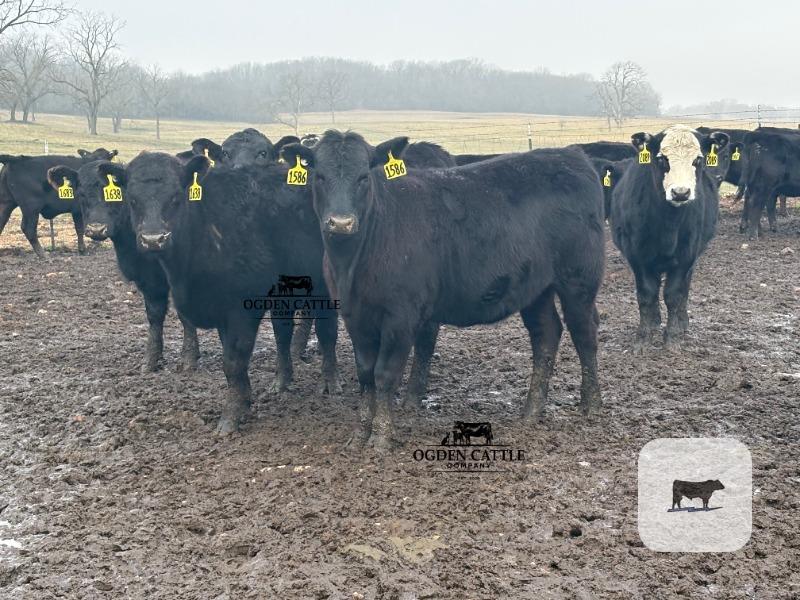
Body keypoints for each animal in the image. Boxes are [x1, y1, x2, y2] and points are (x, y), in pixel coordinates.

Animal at [46, 160, 200, 372]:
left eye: (114, 194)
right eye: (81, 194)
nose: (96, 229)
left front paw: (189, 359)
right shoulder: (147, 279)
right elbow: (154, 315)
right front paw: (151, 360)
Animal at [97, 152, 339, 433]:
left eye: (176, 197)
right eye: (133, 199)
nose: (153, 239)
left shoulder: (240, 308)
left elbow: (233, 361)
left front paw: (230, 418)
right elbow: (232, 363)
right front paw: (244, 401)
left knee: (326, 333)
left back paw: (330, 382)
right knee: (283, 334)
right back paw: (282, 381)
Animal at [283, 130, 605, 449]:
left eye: (364, 176)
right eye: (319, 176)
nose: (341, 223)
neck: (352, 263)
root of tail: (572, 155)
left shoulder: (401, 316)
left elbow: (384, 374)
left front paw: (382, 436)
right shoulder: (354, 315)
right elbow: (365, 375)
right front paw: (360, 433)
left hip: (579, 280)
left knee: (584, 334)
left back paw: (591, 405)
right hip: (536, 288)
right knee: (546, 334)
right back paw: (532, 411)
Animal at [611, 125, 728, 350]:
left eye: (698, 159)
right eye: (661, 159)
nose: (681, 193)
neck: (668, 224)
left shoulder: (686, 257)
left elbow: (674, 295)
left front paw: (672, 337)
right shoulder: (637, 257)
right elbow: (646, 295)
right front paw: (644, 337)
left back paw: (682, 323)